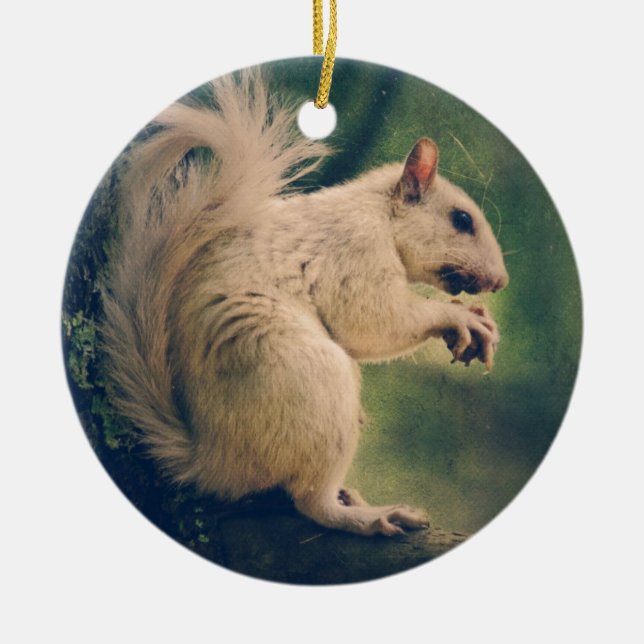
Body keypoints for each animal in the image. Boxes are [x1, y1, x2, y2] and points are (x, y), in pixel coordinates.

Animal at [101, 70, 509, 537]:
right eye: (462, 220)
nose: (501, 281)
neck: (378, 214)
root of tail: (213, 460)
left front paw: (479, 317)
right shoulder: (355, 251)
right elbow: (372, 321)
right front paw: (460, 317)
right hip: (314, 382)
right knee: (312, 503)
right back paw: (370, 515)